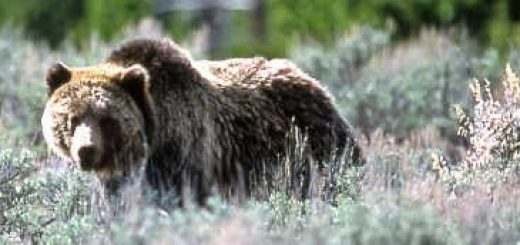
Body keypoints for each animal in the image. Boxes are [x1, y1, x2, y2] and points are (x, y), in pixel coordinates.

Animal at [40, 37, 362, 203]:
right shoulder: (122, 177)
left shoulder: (186, 151)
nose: (86, 151)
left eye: (106, 118)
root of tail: (304, 74)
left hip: (313, 134)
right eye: (71, 118)